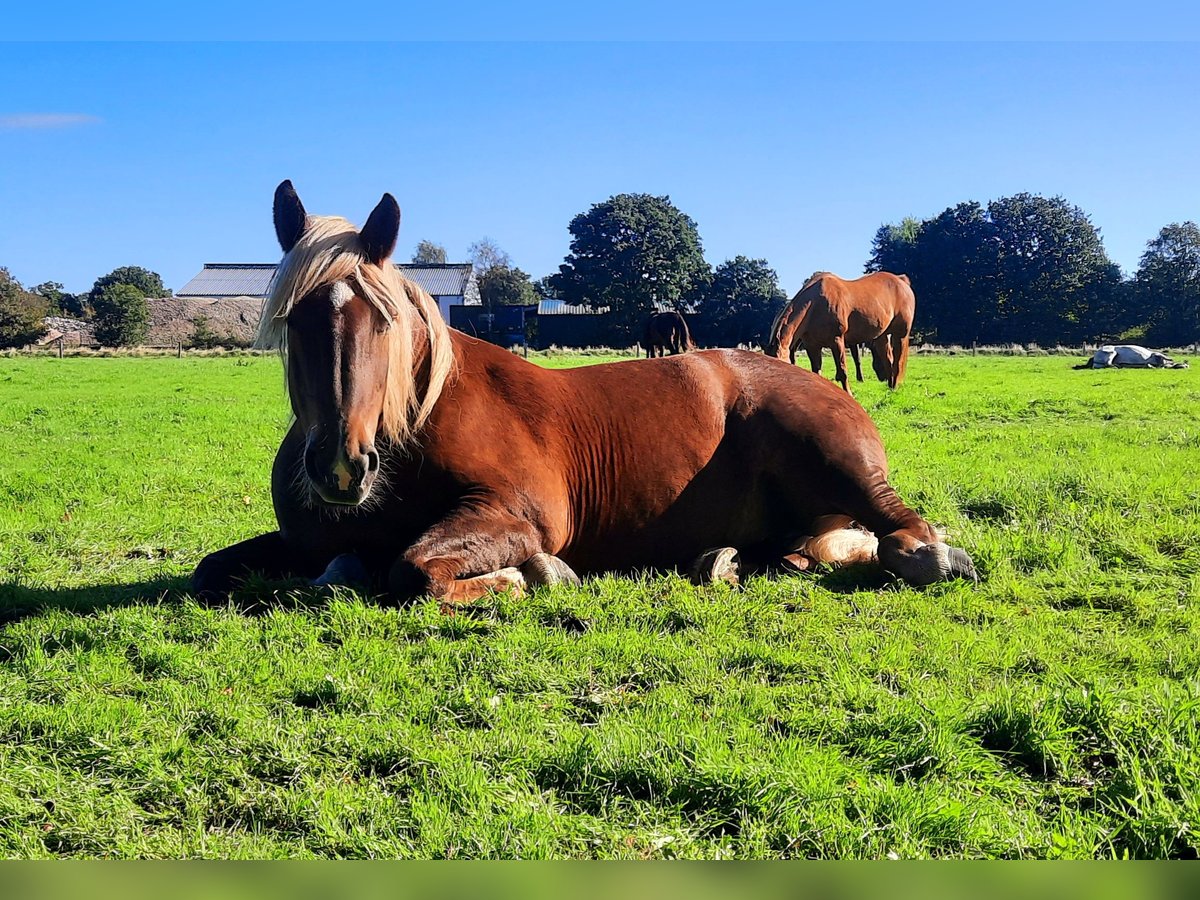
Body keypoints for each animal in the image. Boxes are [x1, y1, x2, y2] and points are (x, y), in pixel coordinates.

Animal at [765, 271, 915, 394]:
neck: (815, 304)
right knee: (888, 359)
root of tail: (901, 280)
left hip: (900, 334)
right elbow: (816, 371)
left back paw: (894, 387)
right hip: (881, 336)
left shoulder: (837, 341)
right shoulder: (812, 346)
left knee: (897, 361)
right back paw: (890, 386)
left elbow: (843, 371)